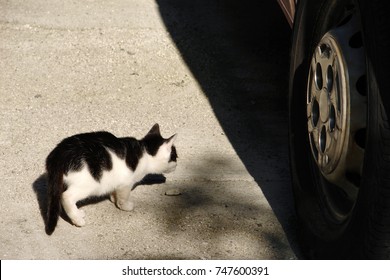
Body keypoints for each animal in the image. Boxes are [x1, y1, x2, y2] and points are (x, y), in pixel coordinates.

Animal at [44, 123, 177, 235]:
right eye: (175, 157)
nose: (177, 164)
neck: (144, 152)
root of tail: (59, 153)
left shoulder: (116, 181)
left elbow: (115, 191)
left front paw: (113, 199)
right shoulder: (126, 183)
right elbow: (123, 198)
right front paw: (125, 206)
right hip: (89, 184)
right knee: (66, 196)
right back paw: (77, 219)